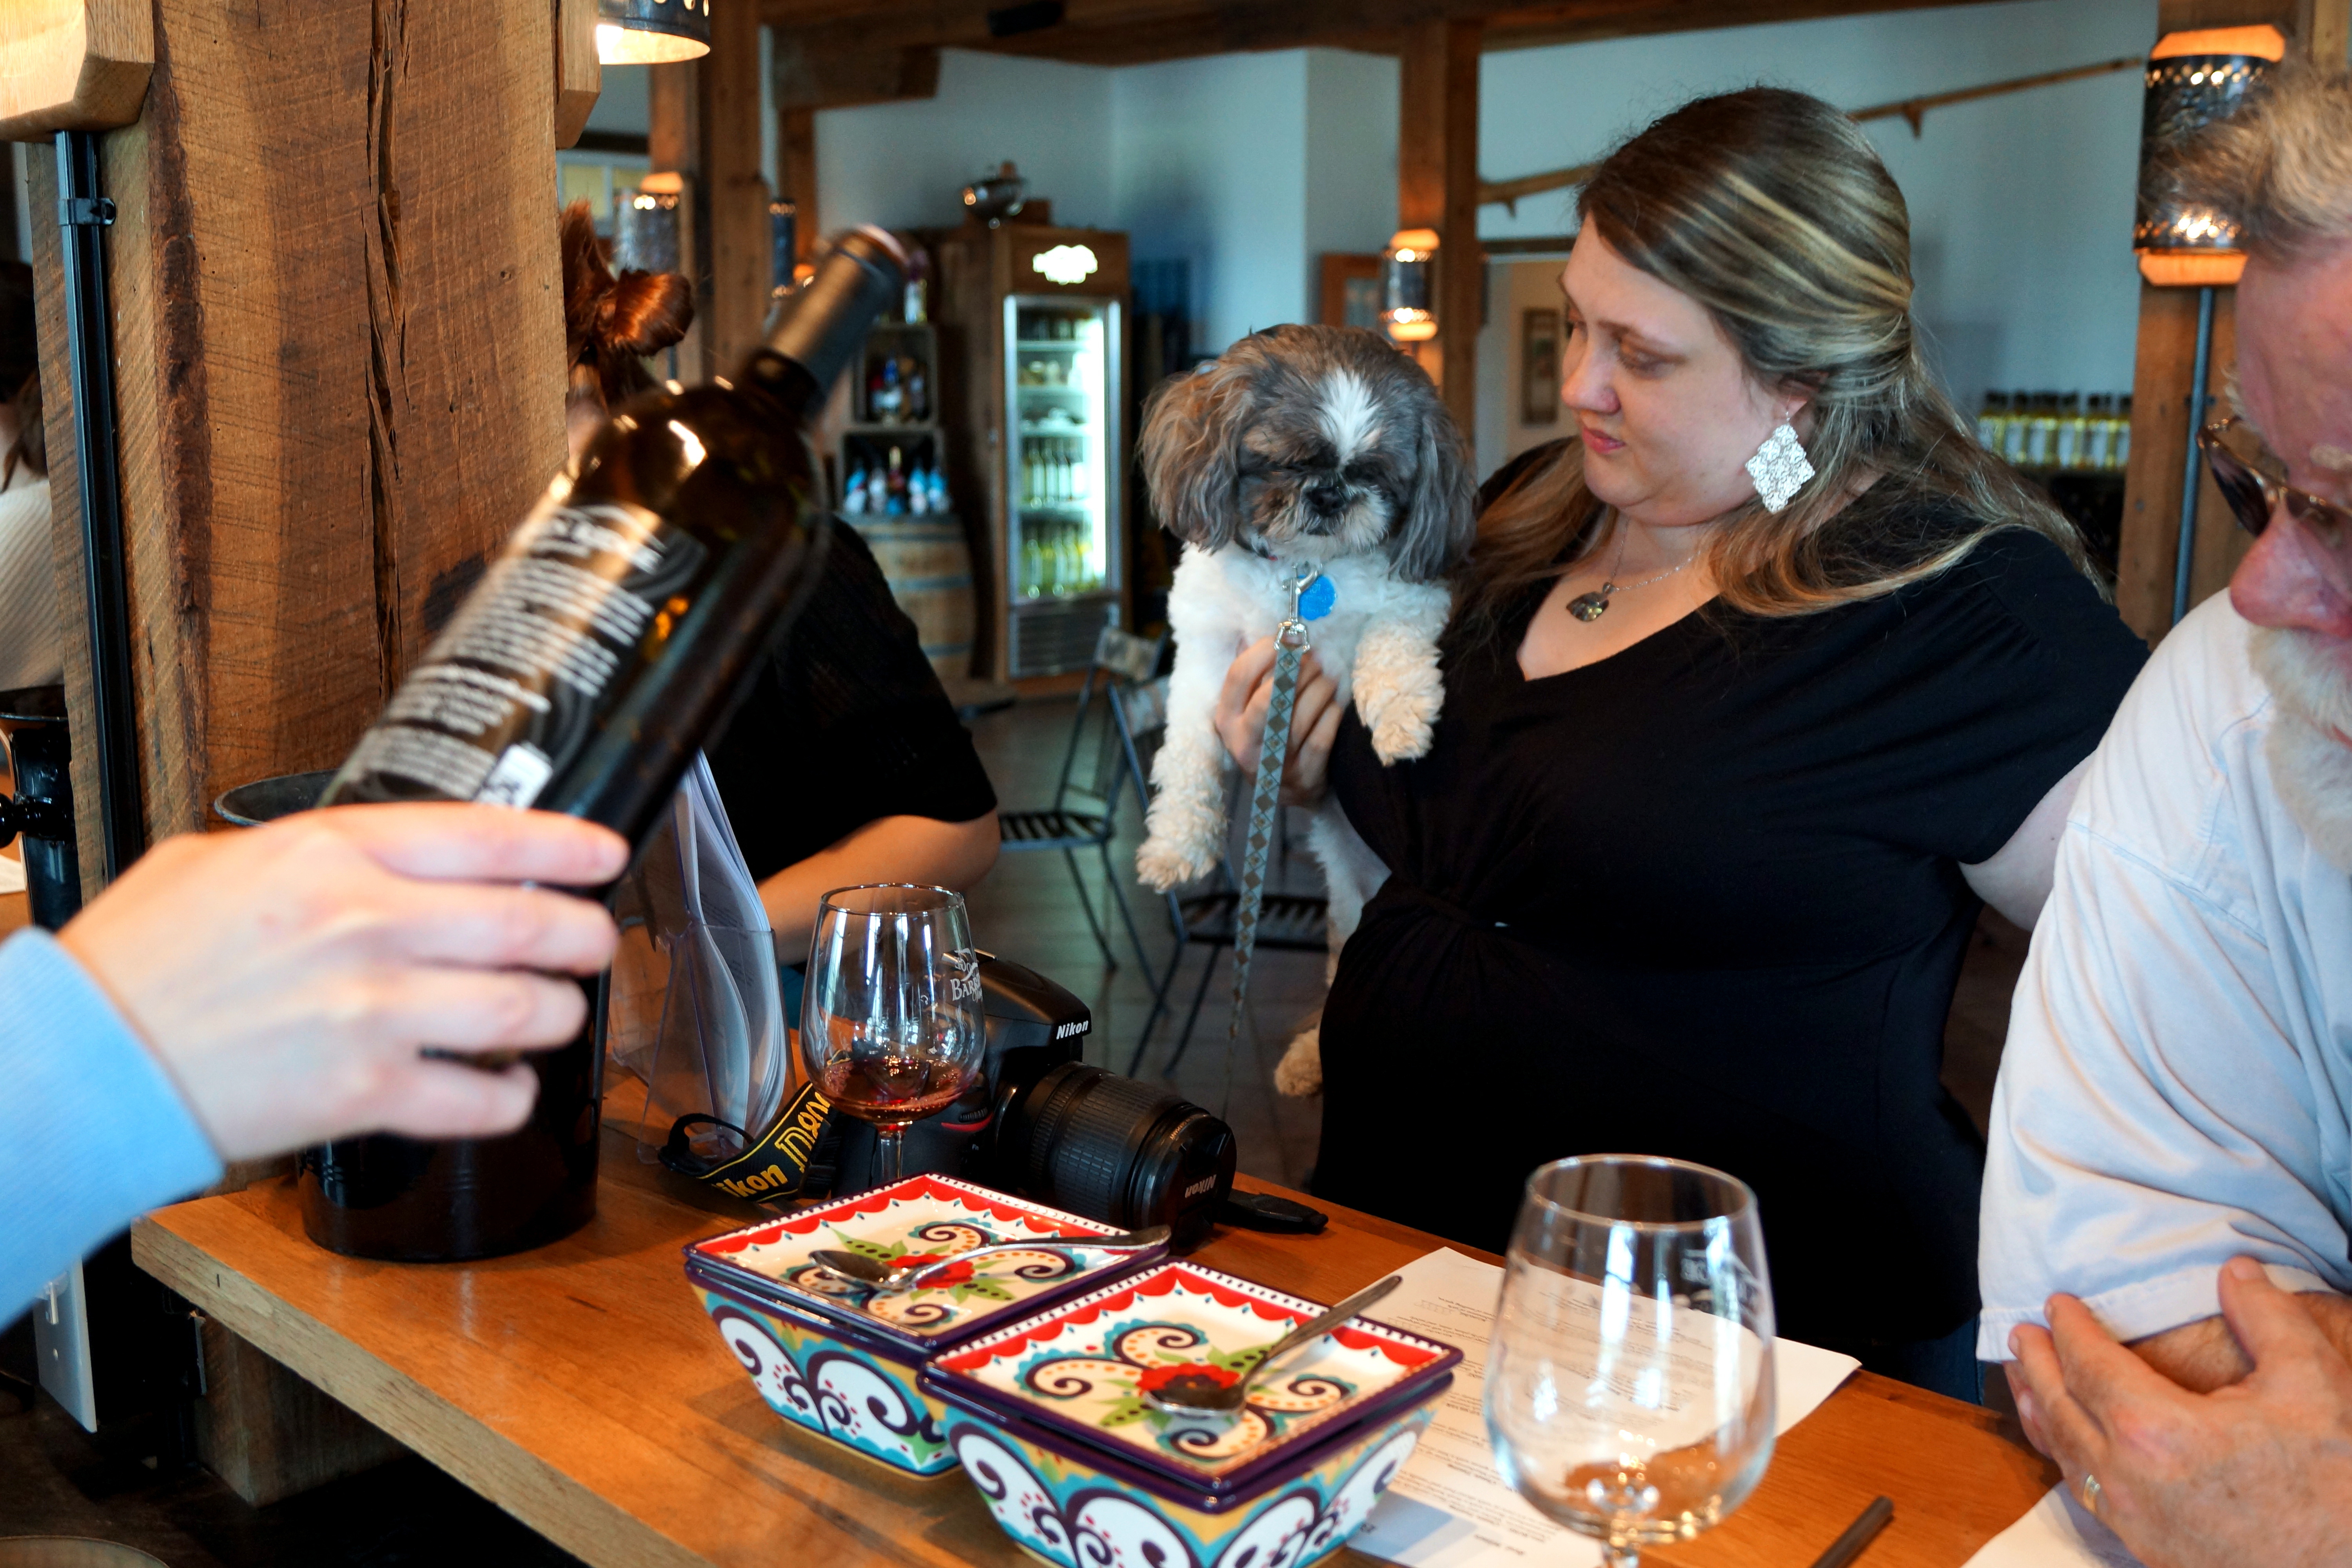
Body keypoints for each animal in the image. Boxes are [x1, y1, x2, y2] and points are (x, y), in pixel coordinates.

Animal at [1134, 324, 1476, 1096]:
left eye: (1377, 475)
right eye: (1287, 462)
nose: (1330, 495)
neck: (1300, 574)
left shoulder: (1414, 599)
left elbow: (1390, 647)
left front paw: (1403, 721)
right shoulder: (1205, 656)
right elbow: (1189, 756)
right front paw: (1177, 845)